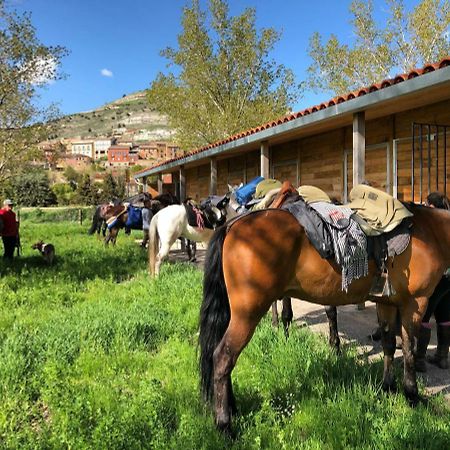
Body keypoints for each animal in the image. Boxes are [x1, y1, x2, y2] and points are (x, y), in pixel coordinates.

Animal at [200, 203, 450, 432]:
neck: (431, 230)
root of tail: (233, 225)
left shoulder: (387, 303)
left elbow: (389, 344)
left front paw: (388, 388)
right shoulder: (414, 304)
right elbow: (408, 349)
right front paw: (412, 395)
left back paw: (231, 408)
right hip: (247, 315)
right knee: (223, 358)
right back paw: (224, 424)